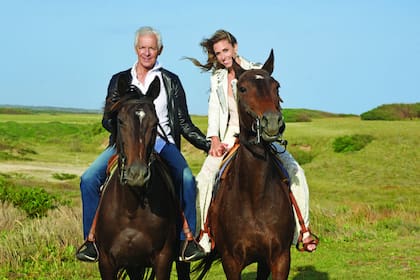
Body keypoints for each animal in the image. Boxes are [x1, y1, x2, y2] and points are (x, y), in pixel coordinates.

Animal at [198, 50, 294, 280]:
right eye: (242, 88)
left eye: (276, 86)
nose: (272, 122)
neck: (254, 195)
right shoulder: (231, 262)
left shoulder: (279, 259)